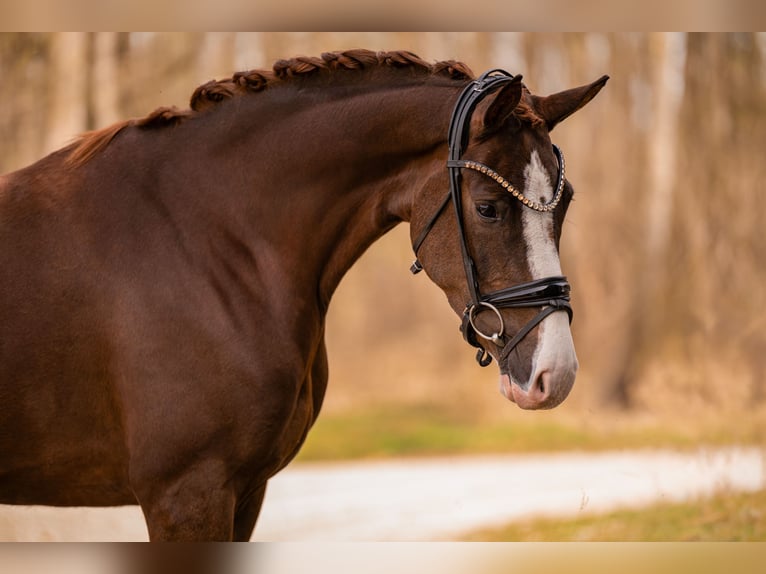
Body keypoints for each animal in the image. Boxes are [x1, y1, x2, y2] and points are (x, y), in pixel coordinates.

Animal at [0, 49, 607, 541]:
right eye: (487, 207)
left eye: (566, 202)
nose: (555, 374)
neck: (206, 237)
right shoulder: (186, 494)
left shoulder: (244, 493)